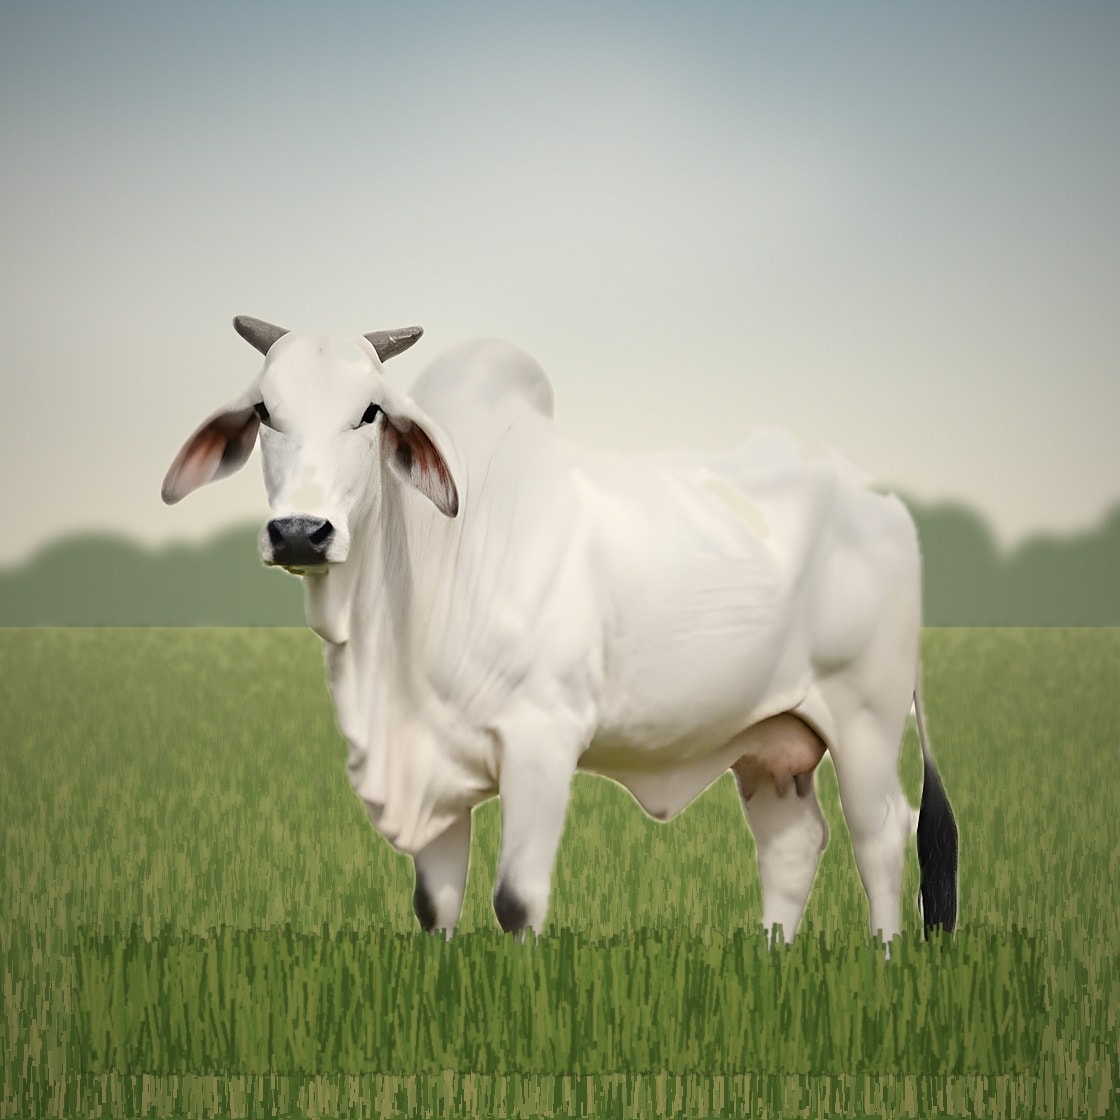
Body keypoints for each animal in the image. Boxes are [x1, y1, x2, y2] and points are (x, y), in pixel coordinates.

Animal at [162, 316, 958, 944]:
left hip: (864, 718)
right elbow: (436, 906)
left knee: (883, 834)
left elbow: (516, 901)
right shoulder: (432, 766)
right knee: (792, 845)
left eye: (370, 414)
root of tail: (882, 500)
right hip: (769, 739)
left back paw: (885, 961)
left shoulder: (542, 739)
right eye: (266, 410)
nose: (301, 532)